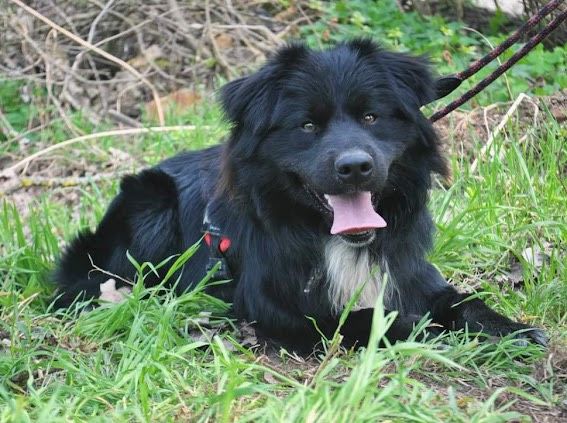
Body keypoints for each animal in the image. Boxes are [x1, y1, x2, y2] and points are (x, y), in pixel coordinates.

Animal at [55, 39, 548, 352]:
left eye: (371, 117)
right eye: (307, 125)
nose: (355, 167)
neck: (329, 236)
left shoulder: (406, 271)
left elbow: (461, 302)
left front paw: (515, 332)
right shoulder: (274, 307)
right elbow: (360, 320)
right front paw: (423, 329)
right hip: (150, 201)